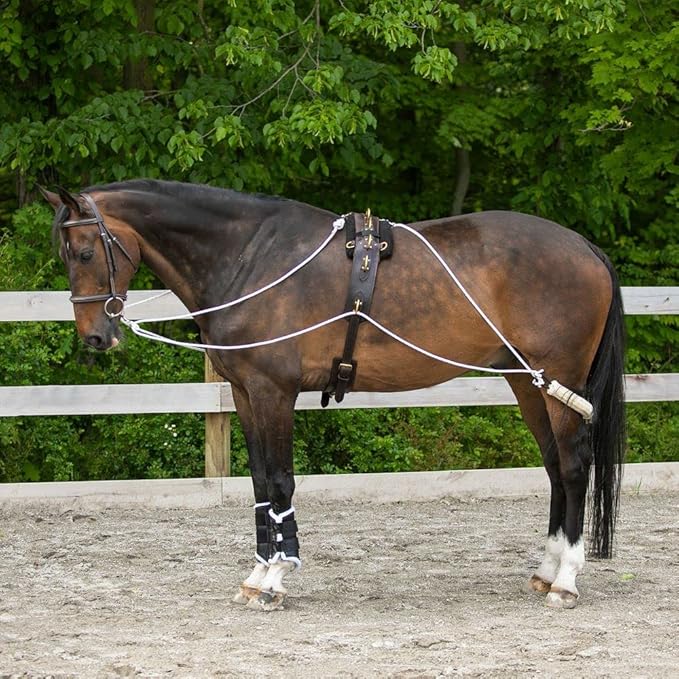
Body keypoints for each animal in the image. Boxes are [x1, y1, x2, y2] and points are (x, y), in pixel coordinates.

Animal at [41, 179, 625, 611]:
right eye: (64, 253)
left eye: (86, 251)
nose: (95, 336)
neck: (251, 257)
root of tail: (585, 247)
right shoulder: (244, 393)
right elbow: (260, 482)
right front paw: (258, 572)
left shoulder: (273, 392)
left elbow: (280, 481)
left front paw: (277, 577)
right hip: (528, 382)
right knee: (554, 469)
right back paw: (547, 570)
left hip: (559, 383)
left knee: (574, 467)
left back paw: (566, 580)